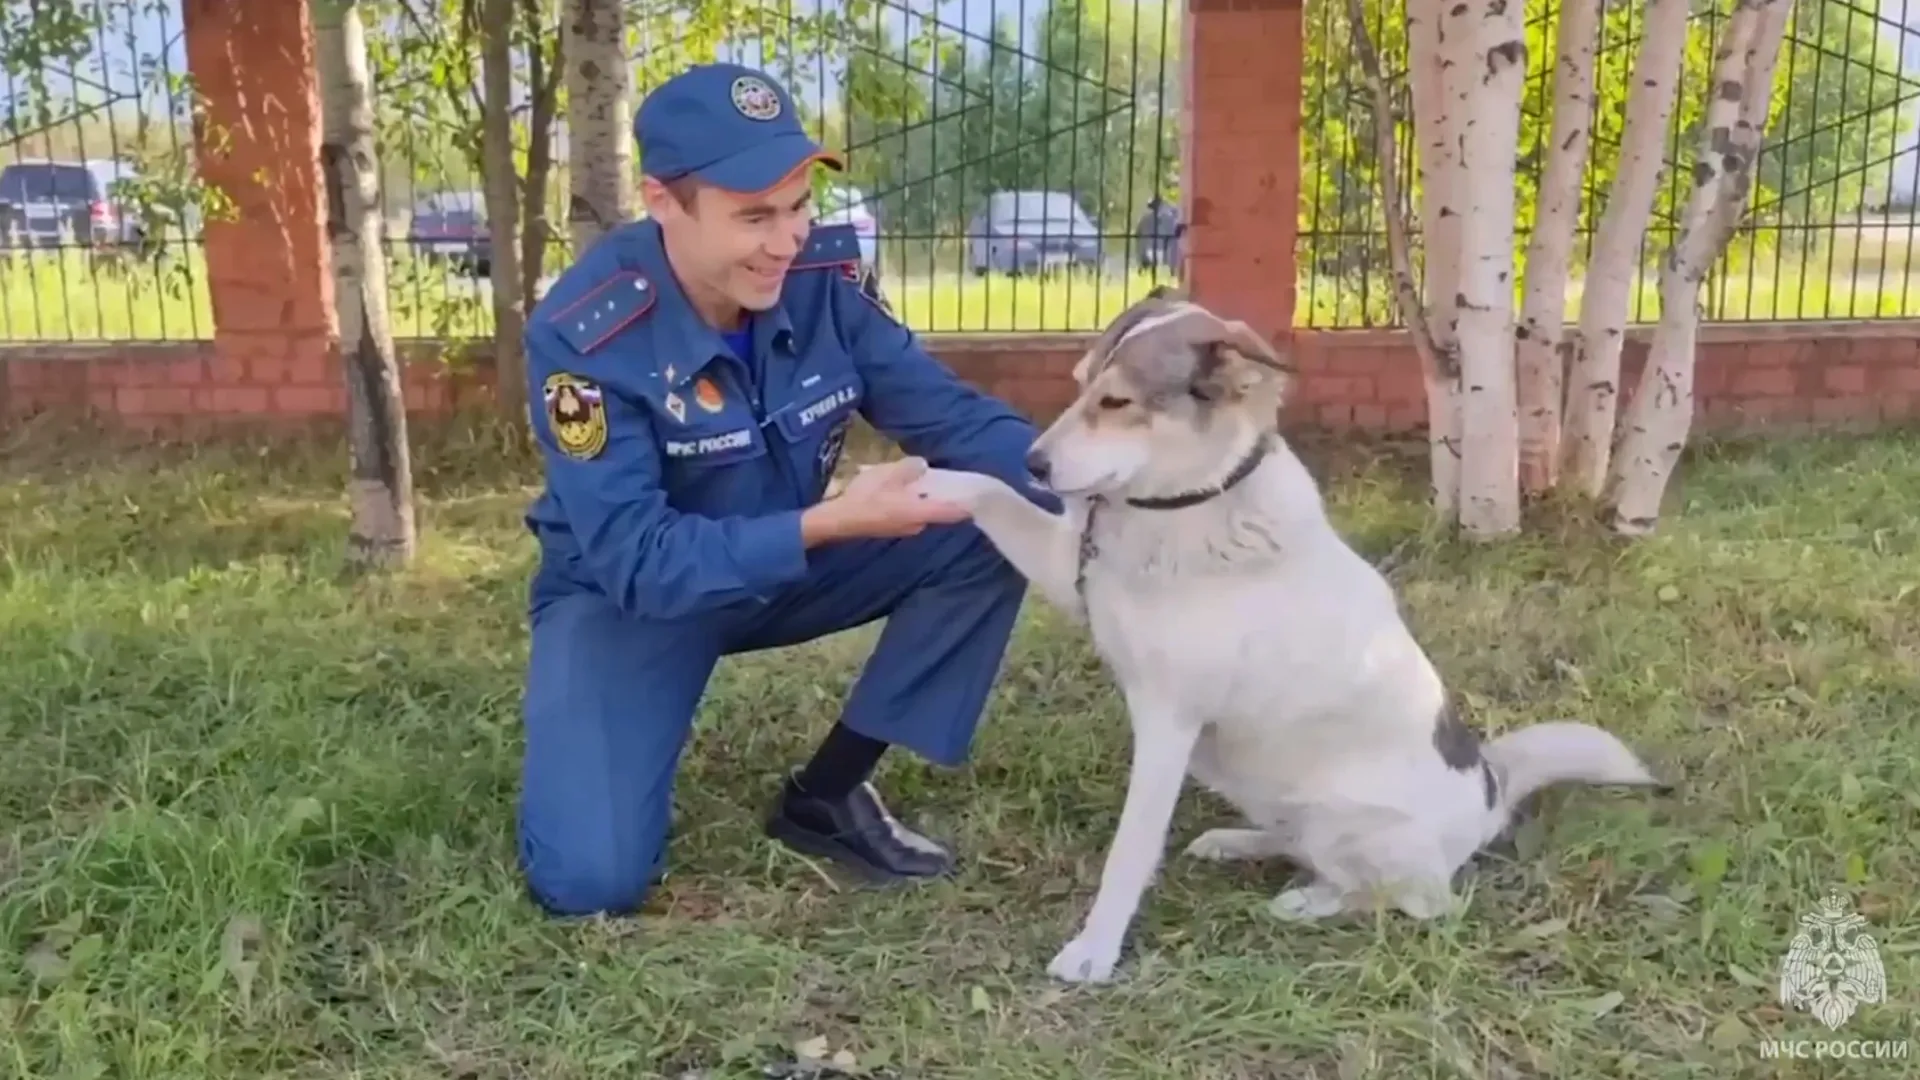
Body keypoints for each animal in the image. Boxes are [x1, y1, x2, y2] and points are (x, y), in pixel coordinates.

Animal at [906, 290, 1658, 980]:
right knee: (1300, 845)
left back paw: (1310, 902)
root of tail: (1491, 792)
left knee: (1417, 900)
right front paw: (924, 486)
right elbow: (985, 494)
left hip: (1346, 821)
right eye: (1079, 384)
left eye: (1116, 402)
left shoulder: (1168, 724)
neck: (1187, 505)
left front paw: (1095, 951)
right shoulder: (1072, 574)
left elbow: (1130, 850)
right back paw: (1236, 844)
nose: (1033, 463)